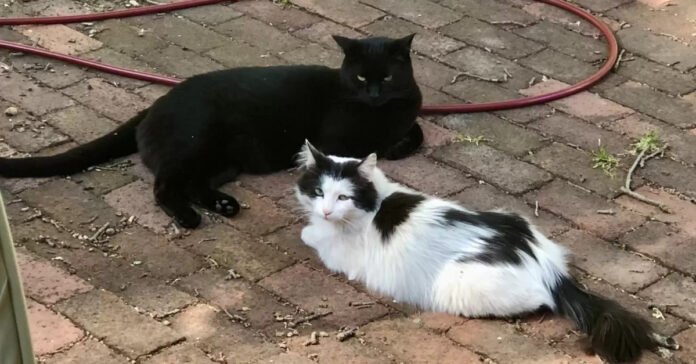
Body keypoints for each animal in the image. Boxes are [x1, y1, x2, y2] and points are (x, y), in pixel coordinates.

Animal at [0, 34, 422, 228]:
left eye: (387, 76)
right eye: (361, 77)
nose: (373, 92)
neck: (384, 112)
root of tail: (156, 104)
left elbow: (416, 131)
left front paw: (404, 140)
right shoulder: (335, 140)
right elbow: (375, 146)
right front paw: (392, 146)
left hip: (222, 160)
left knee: (193, 183)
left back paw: (223, 205)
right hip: (196, 143)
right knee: (165, 185)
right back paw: (188, 217)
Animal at [294, 141, 676, 362]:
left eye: (343, 197)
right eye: (318, 192)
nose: (325, 210)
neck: (376, 203)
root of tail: (547, 268)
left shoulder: (339, 253)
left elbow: (311, 236)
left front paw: (310, 230)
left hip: (458, 284)